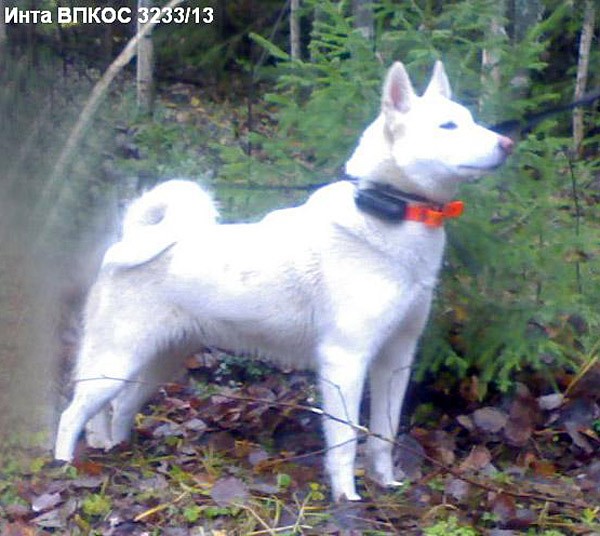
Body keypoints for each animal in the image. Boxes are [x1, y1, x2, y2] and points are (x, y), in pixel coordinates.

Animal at [54, 61, 513, 501]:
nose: (508, 143)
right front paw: (347, 498)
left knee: (117, 408)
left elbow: (384, 435)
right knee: (71, 414)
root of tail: (130, 238)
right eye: (448, 126)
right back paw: (65, 466)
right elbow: (345, 440)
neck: (391, 210)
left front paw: (387, 484)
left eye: (470, 119)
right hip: (115, 362)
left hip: (156, 362)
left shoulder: (396, 358)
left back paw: (115, 449)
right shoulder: (345, 361)